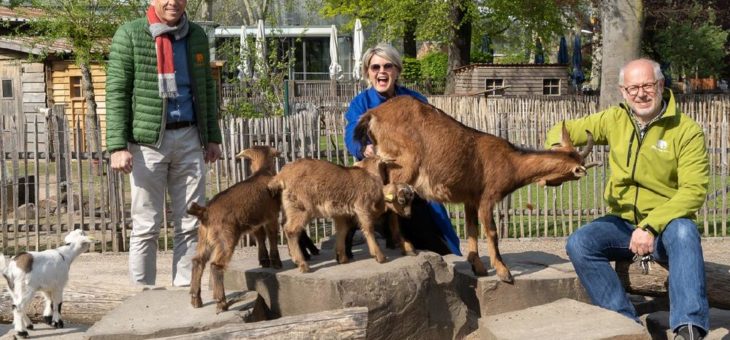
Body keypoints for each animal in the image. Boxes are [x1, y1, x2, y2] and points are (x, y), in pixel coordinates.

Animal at [186, 145, 280, 312]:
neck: (262, 172)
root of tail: (205, 212)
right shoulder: (271, 216)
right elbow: (272, 236)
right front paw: (276, 263)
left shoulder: (255, 223)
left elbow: (260, 237)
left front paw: (264, 261)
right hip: (226, 238)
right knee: (216, 266)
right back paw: (221, 302)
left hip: (204, 238)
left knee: (198, 261)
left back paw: (196, 300)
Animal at [268, 157, 416, 274]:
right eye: (402, 200)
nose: (409, 215)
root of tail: (281, 176)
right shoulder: (362, 207)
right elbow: (368, 228)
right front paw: (380, 256)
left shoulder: (341, 214)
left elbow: (342, 231)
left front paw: (342, 257)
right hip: (300, 208)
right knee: (291, 230)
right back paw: (303, 264)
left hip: (288, 208)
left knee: (284, 226)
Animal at [354, 95, 596, 282]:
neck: (511, 162)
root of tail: (372, 115)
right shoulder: (488, 197)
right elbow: (492, 231)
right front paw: (504, 272)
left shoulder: (470, 199)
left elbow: (472, 230)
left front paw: (476, 265)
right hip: (405, 165)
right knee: (391, 197)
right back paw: (404, 246)